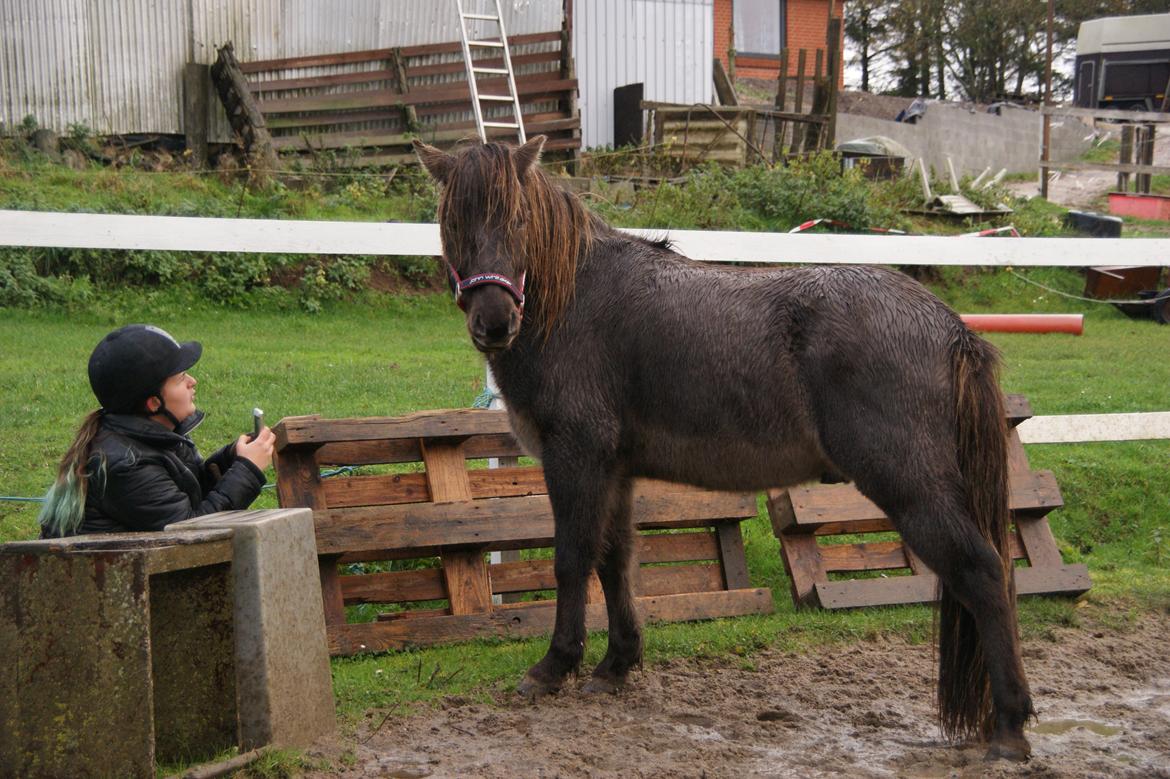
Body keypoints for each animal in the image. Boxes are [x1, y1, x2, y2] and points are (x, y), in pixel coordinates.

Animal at [418, 135, 1034, 757]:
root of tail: (950, 327)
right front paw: (616, 665)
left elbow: (572, 559)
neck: (576, 302)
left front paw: (553, 667)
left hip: (910, 487)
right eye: (452, 221)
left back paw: (1009, 727)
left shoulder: (576, 458)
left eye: (518, 219)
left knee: (984, 573)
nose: (494, 322)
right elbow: (615, 561)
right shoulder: (614, 470)